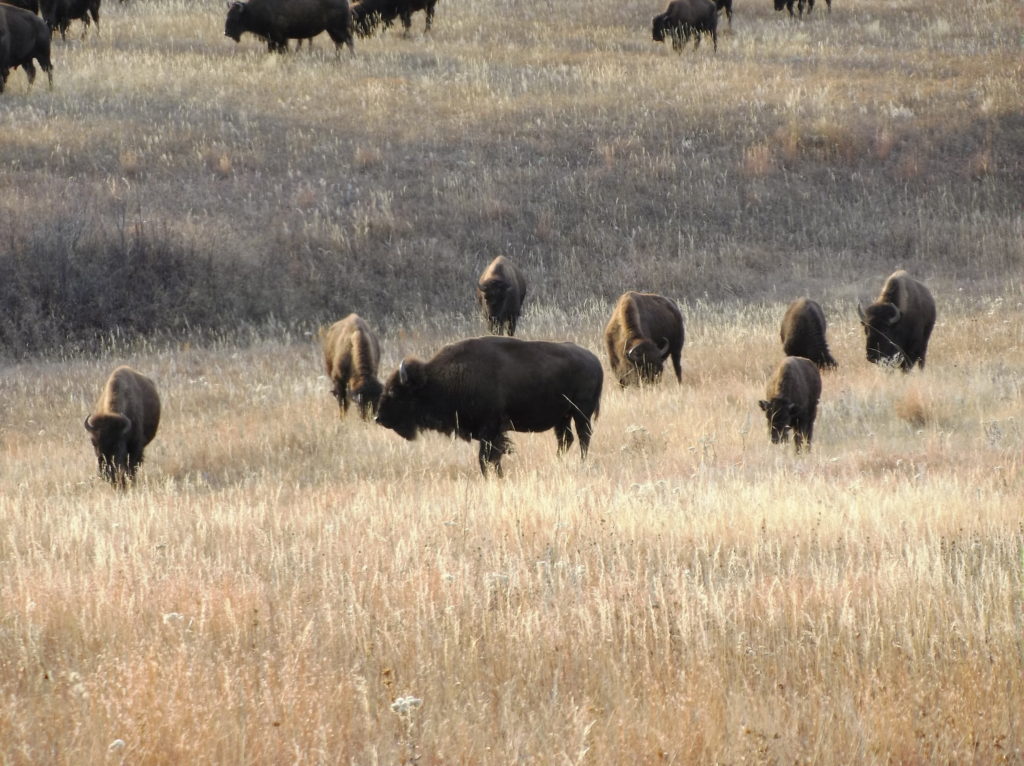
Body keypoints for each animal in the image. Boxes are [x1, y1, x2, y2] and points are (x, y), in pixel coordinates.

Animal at [223, 0, 352, 54]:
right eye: (227, 14)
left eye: (235, 17)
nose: (227, 33)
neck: (250, 11)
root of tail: (345, 2)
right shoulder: (273, 39)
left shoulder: (279, 38)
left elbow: (281, 49)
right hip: (332, 30)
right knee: (339, 43)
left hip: (338, 29)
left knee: (348, 41)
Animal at [374, 335, 598, 475]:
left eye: (395, 392)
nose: (378, 417)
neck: (435, 381)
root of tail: (594, 360)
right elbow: (491, 458)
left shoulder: (491, 429)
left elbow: (486, 458)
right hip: (563, 418)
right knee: (566, 439)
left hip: (581, 413)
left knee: (583, 438)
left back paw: (582, 462)